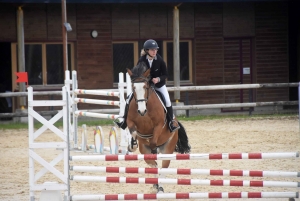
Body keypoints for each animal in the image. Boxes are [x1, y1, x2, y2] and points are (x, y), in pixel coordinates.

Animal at [125, 62, 191, 193]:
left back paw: (160, 186)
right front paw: (132, 145)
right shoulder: (130, 122)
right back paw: (155, 183)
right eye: (133, 88)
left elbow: (153, 141)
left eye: (145, 87)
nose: (141, 111)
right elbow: (133, 132)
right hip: (144, 150)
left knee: (163, 166)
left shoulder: (158, 125)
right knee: (154, 164)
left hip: (168, 149)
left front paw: (153, 148)